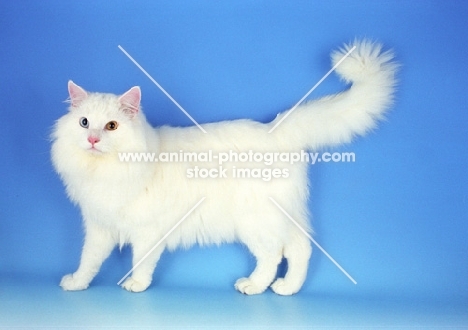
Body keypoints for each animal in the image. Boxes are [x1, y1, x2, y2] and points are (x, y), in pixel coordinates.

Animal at [51, 40, 396, 296]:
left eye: (111, 126)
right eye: (84, 123)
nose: (93, 139)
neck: (104, 171)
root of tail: (275, 130)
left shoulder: (147, 230)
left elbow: (141, 260)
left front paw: (136, 284)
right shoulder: (98, 226)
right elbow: (89, 260)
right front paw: (77, 283)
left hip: (256, 221)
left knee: (275, 254)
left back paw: (255, 286)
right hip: (280, 217)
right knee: (300, 247)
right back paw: (287, 288)